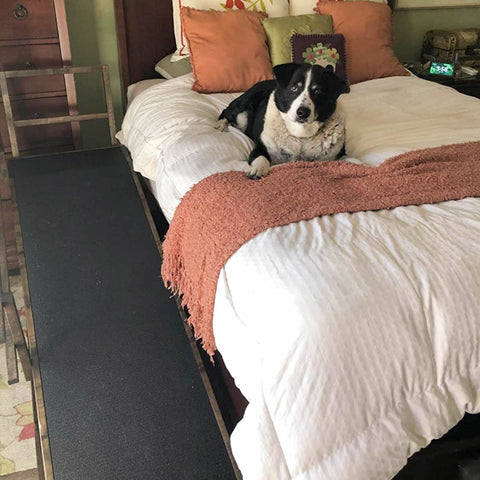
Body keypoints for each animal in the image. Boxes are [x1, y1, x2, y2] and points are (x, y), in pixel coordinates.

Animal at [218, 62, 348, 178]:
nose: (303, 113)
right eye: (294, 88)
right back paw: (220, 124)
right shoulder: (261, 147)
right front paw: (258, 169)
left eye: (318, 91)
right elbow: (261, 158)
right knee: (226, 111)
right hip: (243, 108)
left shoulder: (334, 155)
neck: (300, 135)